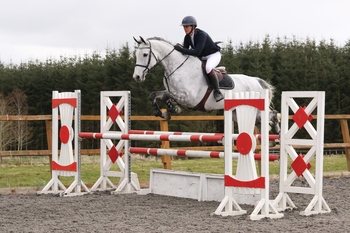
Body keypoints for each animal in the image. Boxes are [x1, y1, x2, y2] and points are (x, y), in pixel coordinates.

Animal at [133, 35, 280, 134]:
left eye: (145, 54)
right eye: (135, 54)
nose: (137, 77)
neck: (176, 67)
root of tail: (257, 81)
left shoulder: (189, 99)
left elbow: (166, 96)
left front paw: (173, 109)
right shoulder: (173, 92)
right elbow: (155, 95)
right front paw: (164, 113)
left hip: (255, 109)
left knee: (271, 115)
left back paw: (277, 129)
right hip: (237, 112)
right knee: (261, 122)